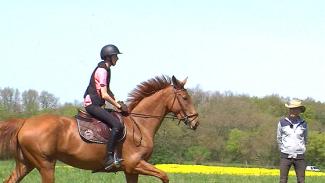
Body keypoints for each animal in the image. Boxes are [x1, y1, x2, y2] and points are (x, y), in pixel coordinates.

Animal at [0, 75, 197, 182]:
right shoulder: (135, 164)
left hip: (26, 163)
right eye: (185, 98)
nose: (196, 122)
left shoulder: (130, 170)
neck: (140, 124)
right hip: (46, 165)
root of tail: (25, 122)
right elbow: (164, 176)